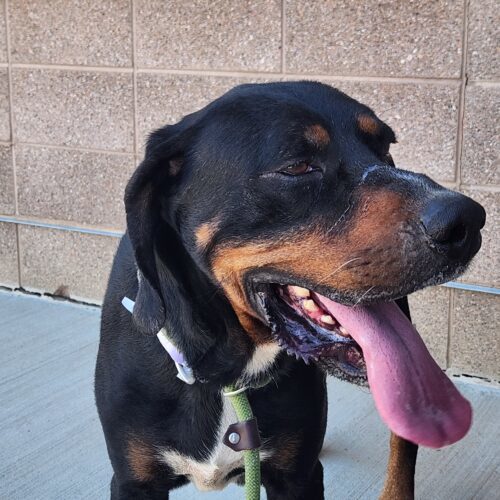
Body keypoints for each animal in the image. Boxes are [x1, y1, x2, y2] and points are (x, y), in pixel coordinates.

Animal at [95, 80, 486, 498]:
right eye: (297, 167)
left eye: (385, 148)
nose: (468, 221)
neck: (225, 373)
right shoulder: (133, 482)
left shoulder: (298, 477)